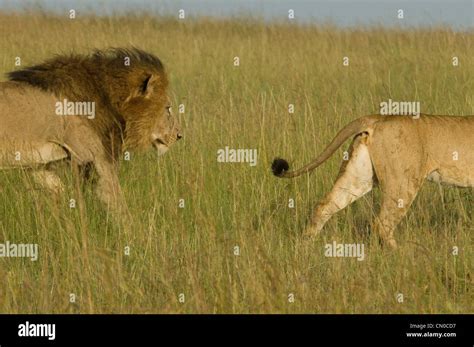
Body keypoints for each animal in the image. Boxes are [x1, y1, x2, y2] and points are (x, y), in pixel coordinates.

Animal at [0, 48, 181, 222]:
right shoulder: (93, 157)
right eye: (168, 109)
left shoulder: (41, 165)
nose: (179, 135)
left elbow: (59, 191)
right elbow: (117, 204)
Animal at [272, 115, 472, 249]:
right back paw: (401, 255)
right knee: (382, 224)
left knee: (323, 207)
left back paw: (306, 247)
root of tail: (379, 119)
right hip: (403, 184)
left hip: (358, 177)